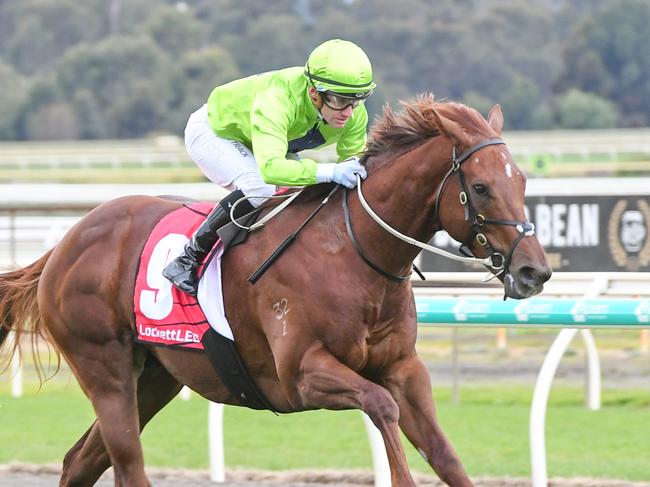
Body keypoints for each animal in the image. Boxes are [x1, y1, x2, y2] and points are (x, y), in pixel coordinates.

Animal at [0, 96, 548, 487]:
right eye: (480, 188)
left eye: (522, 180)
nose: (534, 272)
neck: (352, 251)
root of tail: (67, 241)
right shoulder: (302, 373)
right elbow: (380, 406)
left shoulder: (403, 369)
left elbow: (445, 454)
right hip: (104, 367)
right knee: (128, 465)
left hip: (156, 376)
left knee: (79, 462)